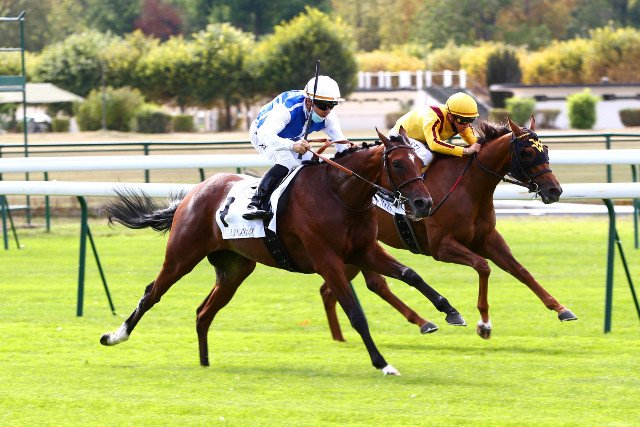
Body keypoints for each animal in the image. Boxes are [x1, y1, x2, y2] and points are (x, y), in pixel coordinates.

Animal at [99, 128, 467, 376]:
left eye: (420, 161)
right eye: (400, 165)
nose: (423, 203)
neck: (339, 194)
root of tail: (193, 193)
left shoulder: (363, 251)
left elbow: (410, 274)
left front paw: (451, 312)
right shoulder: (328, 261)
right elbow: (356, 314)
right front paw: (383, 363)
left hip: (234, 269)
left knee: (204, 312)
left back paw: (205, 363)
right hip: (181, 256)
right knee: (152, 293)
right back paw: (115, 335)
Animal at [319, 116, 577, 342]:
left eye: (545, 149)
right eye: (527, 153)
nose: (555, 190)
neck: (468, 186)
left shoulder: (487, 239)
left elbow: (521, 271)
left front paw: (561, 308)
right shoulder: (441, 246)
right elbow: (483, 266)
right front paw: (484, 324)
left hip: (358, 249)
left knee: (345, 288)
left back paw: (342, 338)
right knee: (355, 286)